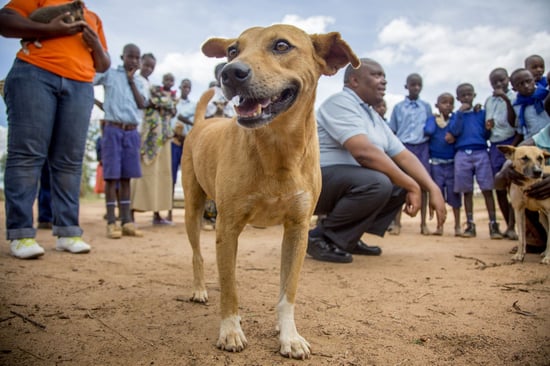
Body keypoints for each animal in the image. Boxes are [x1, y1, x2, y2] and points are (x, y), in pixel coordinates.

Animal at [182, 24, 362, 358]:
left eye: (281, 45)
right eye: (232, 50)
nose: (229, 72)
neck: (277, 149)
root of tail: (202, 123)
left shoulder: (298, 229)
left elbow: (287, 291)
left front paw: (288, 335)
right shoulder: (227, 227)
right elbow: (230, 288)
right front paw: (230, 330)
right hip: (193, 208)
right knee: (198, 255)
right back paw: (199, 289)